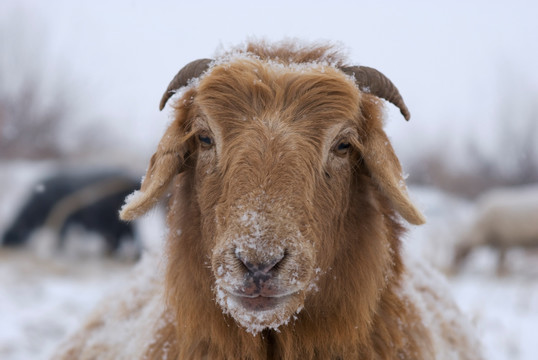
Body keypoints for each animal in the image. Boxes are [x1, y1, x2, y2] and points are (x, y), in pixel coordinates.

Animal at [1, 169, 139, 256]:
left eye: (11, 233)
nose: (4, 243)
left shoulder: (65, 221)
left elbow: (61, 236)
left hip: (113, 223)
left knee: (127, 238)